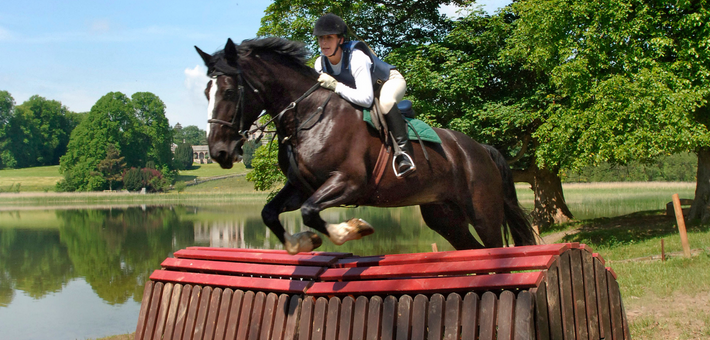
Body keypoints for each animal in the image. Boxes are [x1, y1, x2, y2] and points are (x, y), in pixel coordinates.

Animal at [195, 37, 536, 255]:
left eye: (229, 91)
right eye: (206, 92)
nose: (219, 153)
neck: (308, 116)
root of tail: (480, 149)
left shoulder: (350, 182)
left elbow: (310, 212)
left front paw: (351, 230)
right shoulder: (302, 186)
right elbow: (270, 212)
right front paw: (302, 243)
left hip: (483, 212)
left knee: (494, 247)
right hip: (444, 216)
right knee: (471, 248)